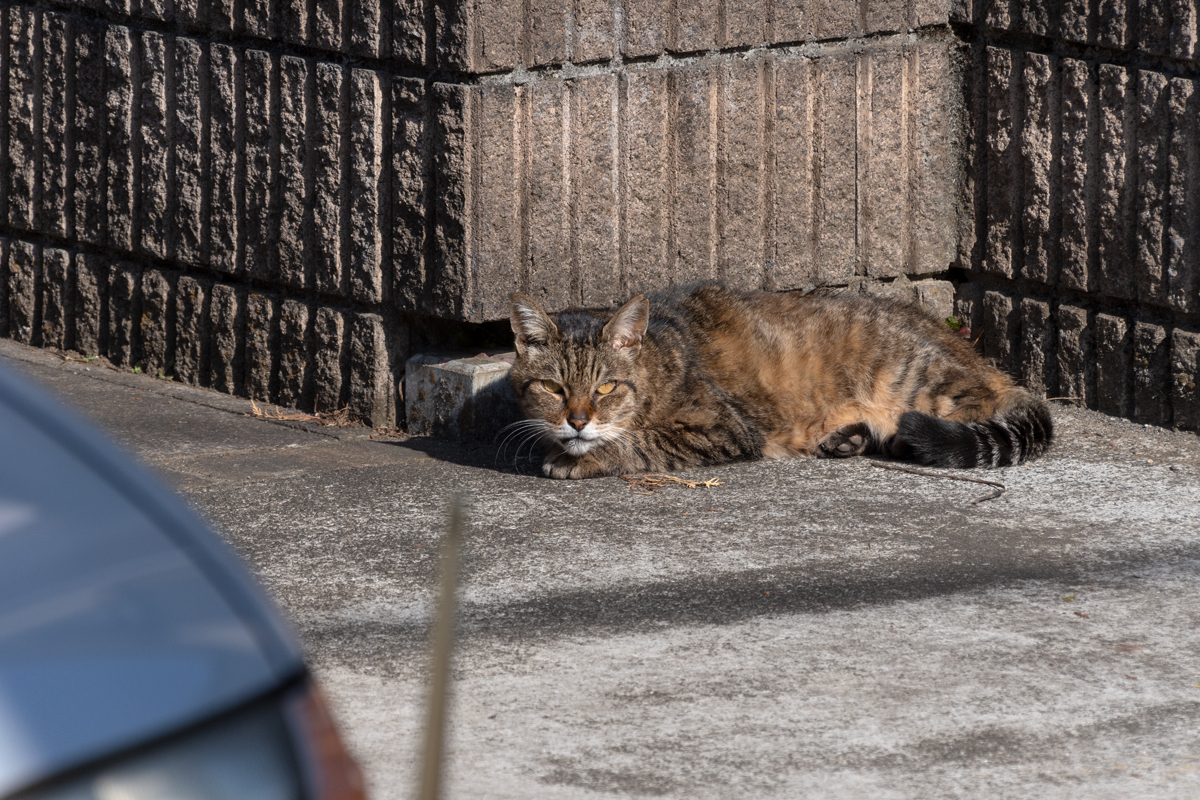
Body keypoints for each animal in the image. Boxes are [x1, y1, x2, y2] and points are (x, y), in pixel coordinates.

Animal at [504, 284, 1051, 479]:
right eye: (553, 389)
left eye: (605, 388)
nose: (578, 421)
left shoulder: (721, 426)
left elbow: (641, 442)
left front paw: (583, 457)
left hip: (918, 382)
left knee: (976, 408)